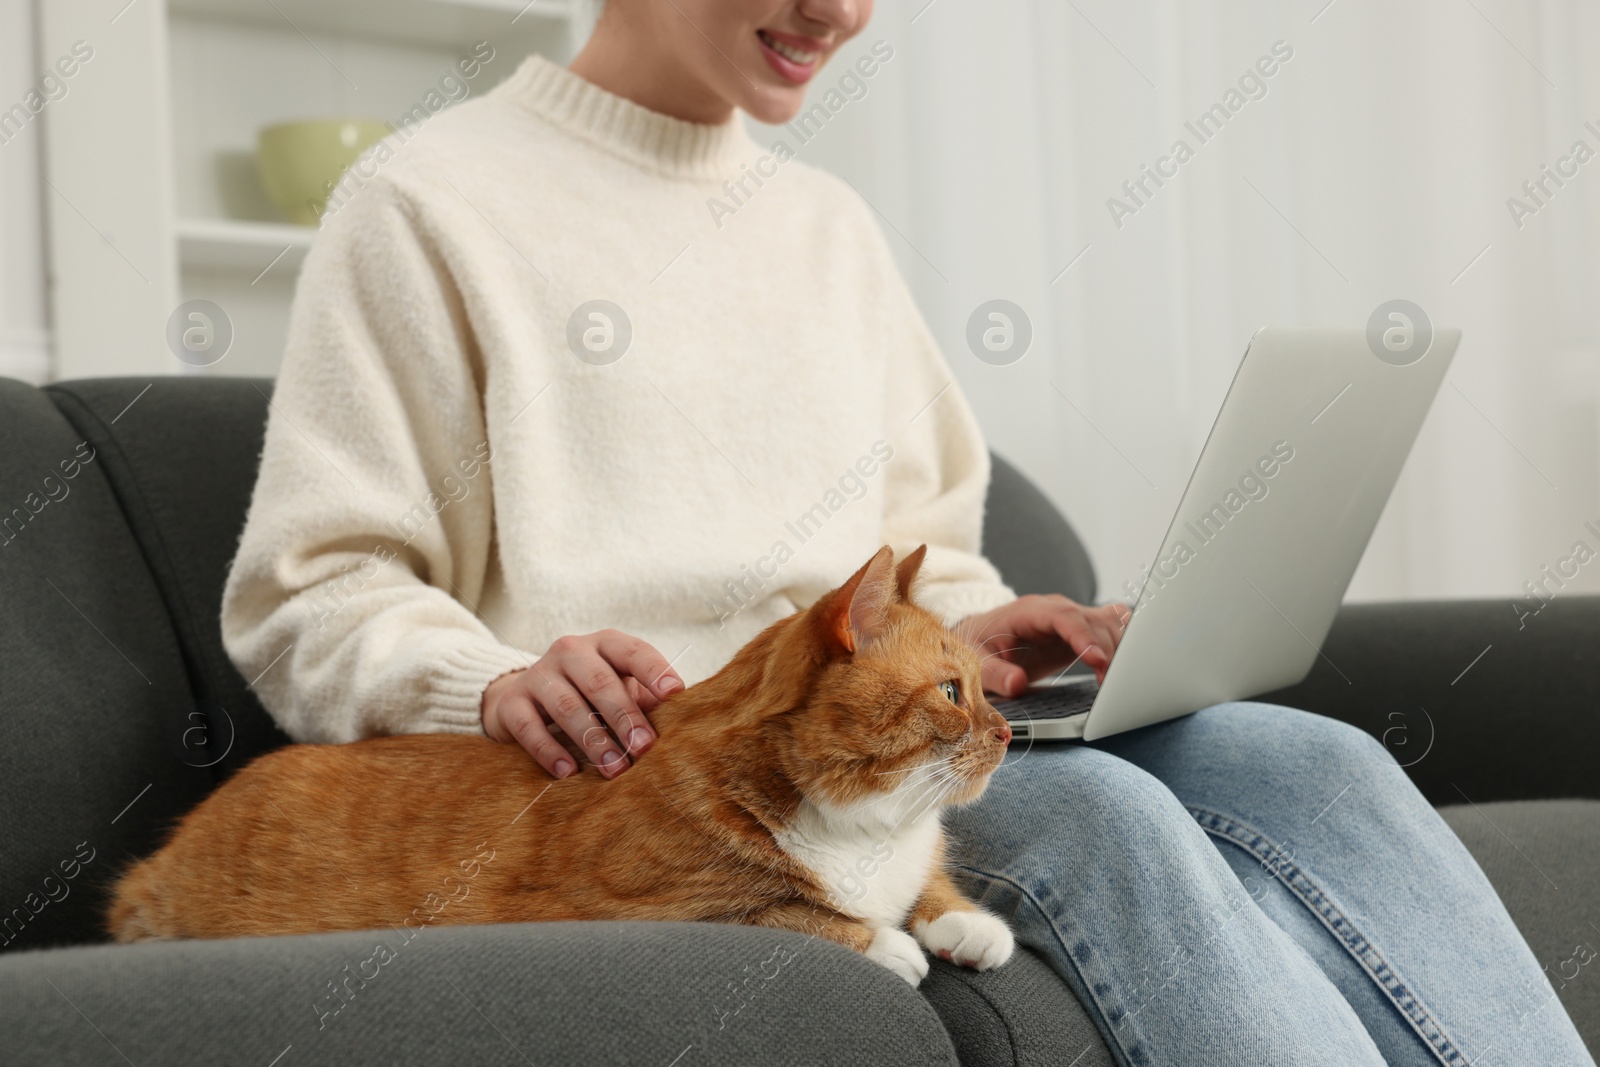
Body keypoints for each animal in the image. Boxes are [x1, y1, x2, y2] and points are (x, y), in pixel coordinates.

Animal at [106, 547, 1011, 991]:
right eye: (951, 691)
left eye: (986, 684)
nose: (1007, 730)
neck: (870, 828)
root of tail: (158, 859)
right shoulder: (630, 906)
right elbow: (784, 907)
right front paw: (885, 942)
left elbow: (927, 890)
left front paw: (965, 923)